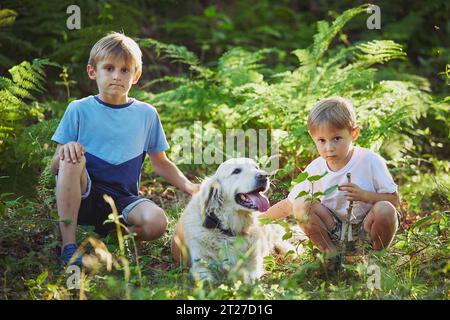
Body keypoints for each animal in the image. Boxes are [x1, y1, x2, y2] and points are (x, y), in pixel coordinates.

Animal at [171, 158, 304, 282]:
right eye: (236, 171)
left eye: (256, 167)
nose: (264, 175)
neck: (228, 231)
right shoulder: (200, 266)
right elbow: (207, 283)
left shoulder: (252, 265)